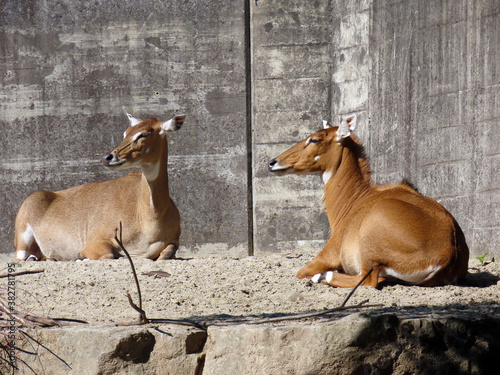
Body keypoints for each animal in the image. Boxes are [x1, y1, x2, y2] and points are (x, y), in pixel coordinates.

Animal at [14, 113, 186, 262]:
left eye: (144, 134)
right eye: (126, 132)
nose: (107, 157)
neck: (151, 216)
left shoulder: (174, 241)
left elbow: (168, 252)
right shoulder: (96, 242)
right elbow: (108, 255)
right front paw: (79, 258)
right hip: (23, 240)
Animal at [270, 116, 468, 290]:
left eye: (315, 139)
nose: (273, 162)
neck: (356, 198)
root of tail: (450, 253)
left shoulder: (327, 255)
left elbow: (301, 272)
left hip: (369, 244)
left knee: (368, 280)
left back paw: (323, 276)